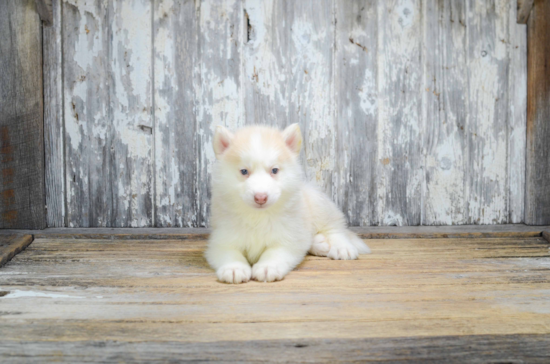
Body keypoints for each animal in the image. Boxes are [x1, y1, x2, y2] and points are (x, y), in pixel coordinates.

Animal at [206, 125, 370, 284]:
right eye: (244, 171)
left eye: (274, 170)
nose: (260, 197)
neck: (258, 216)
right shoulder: (222, 239)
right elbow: (230, 254)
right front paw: (234, 268)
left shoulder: (287, 238)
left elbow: (274, 253)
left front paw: (268, 267)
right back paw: (320, 244)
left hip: (319, 204)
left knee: (335, 228)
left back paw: (342, 247)